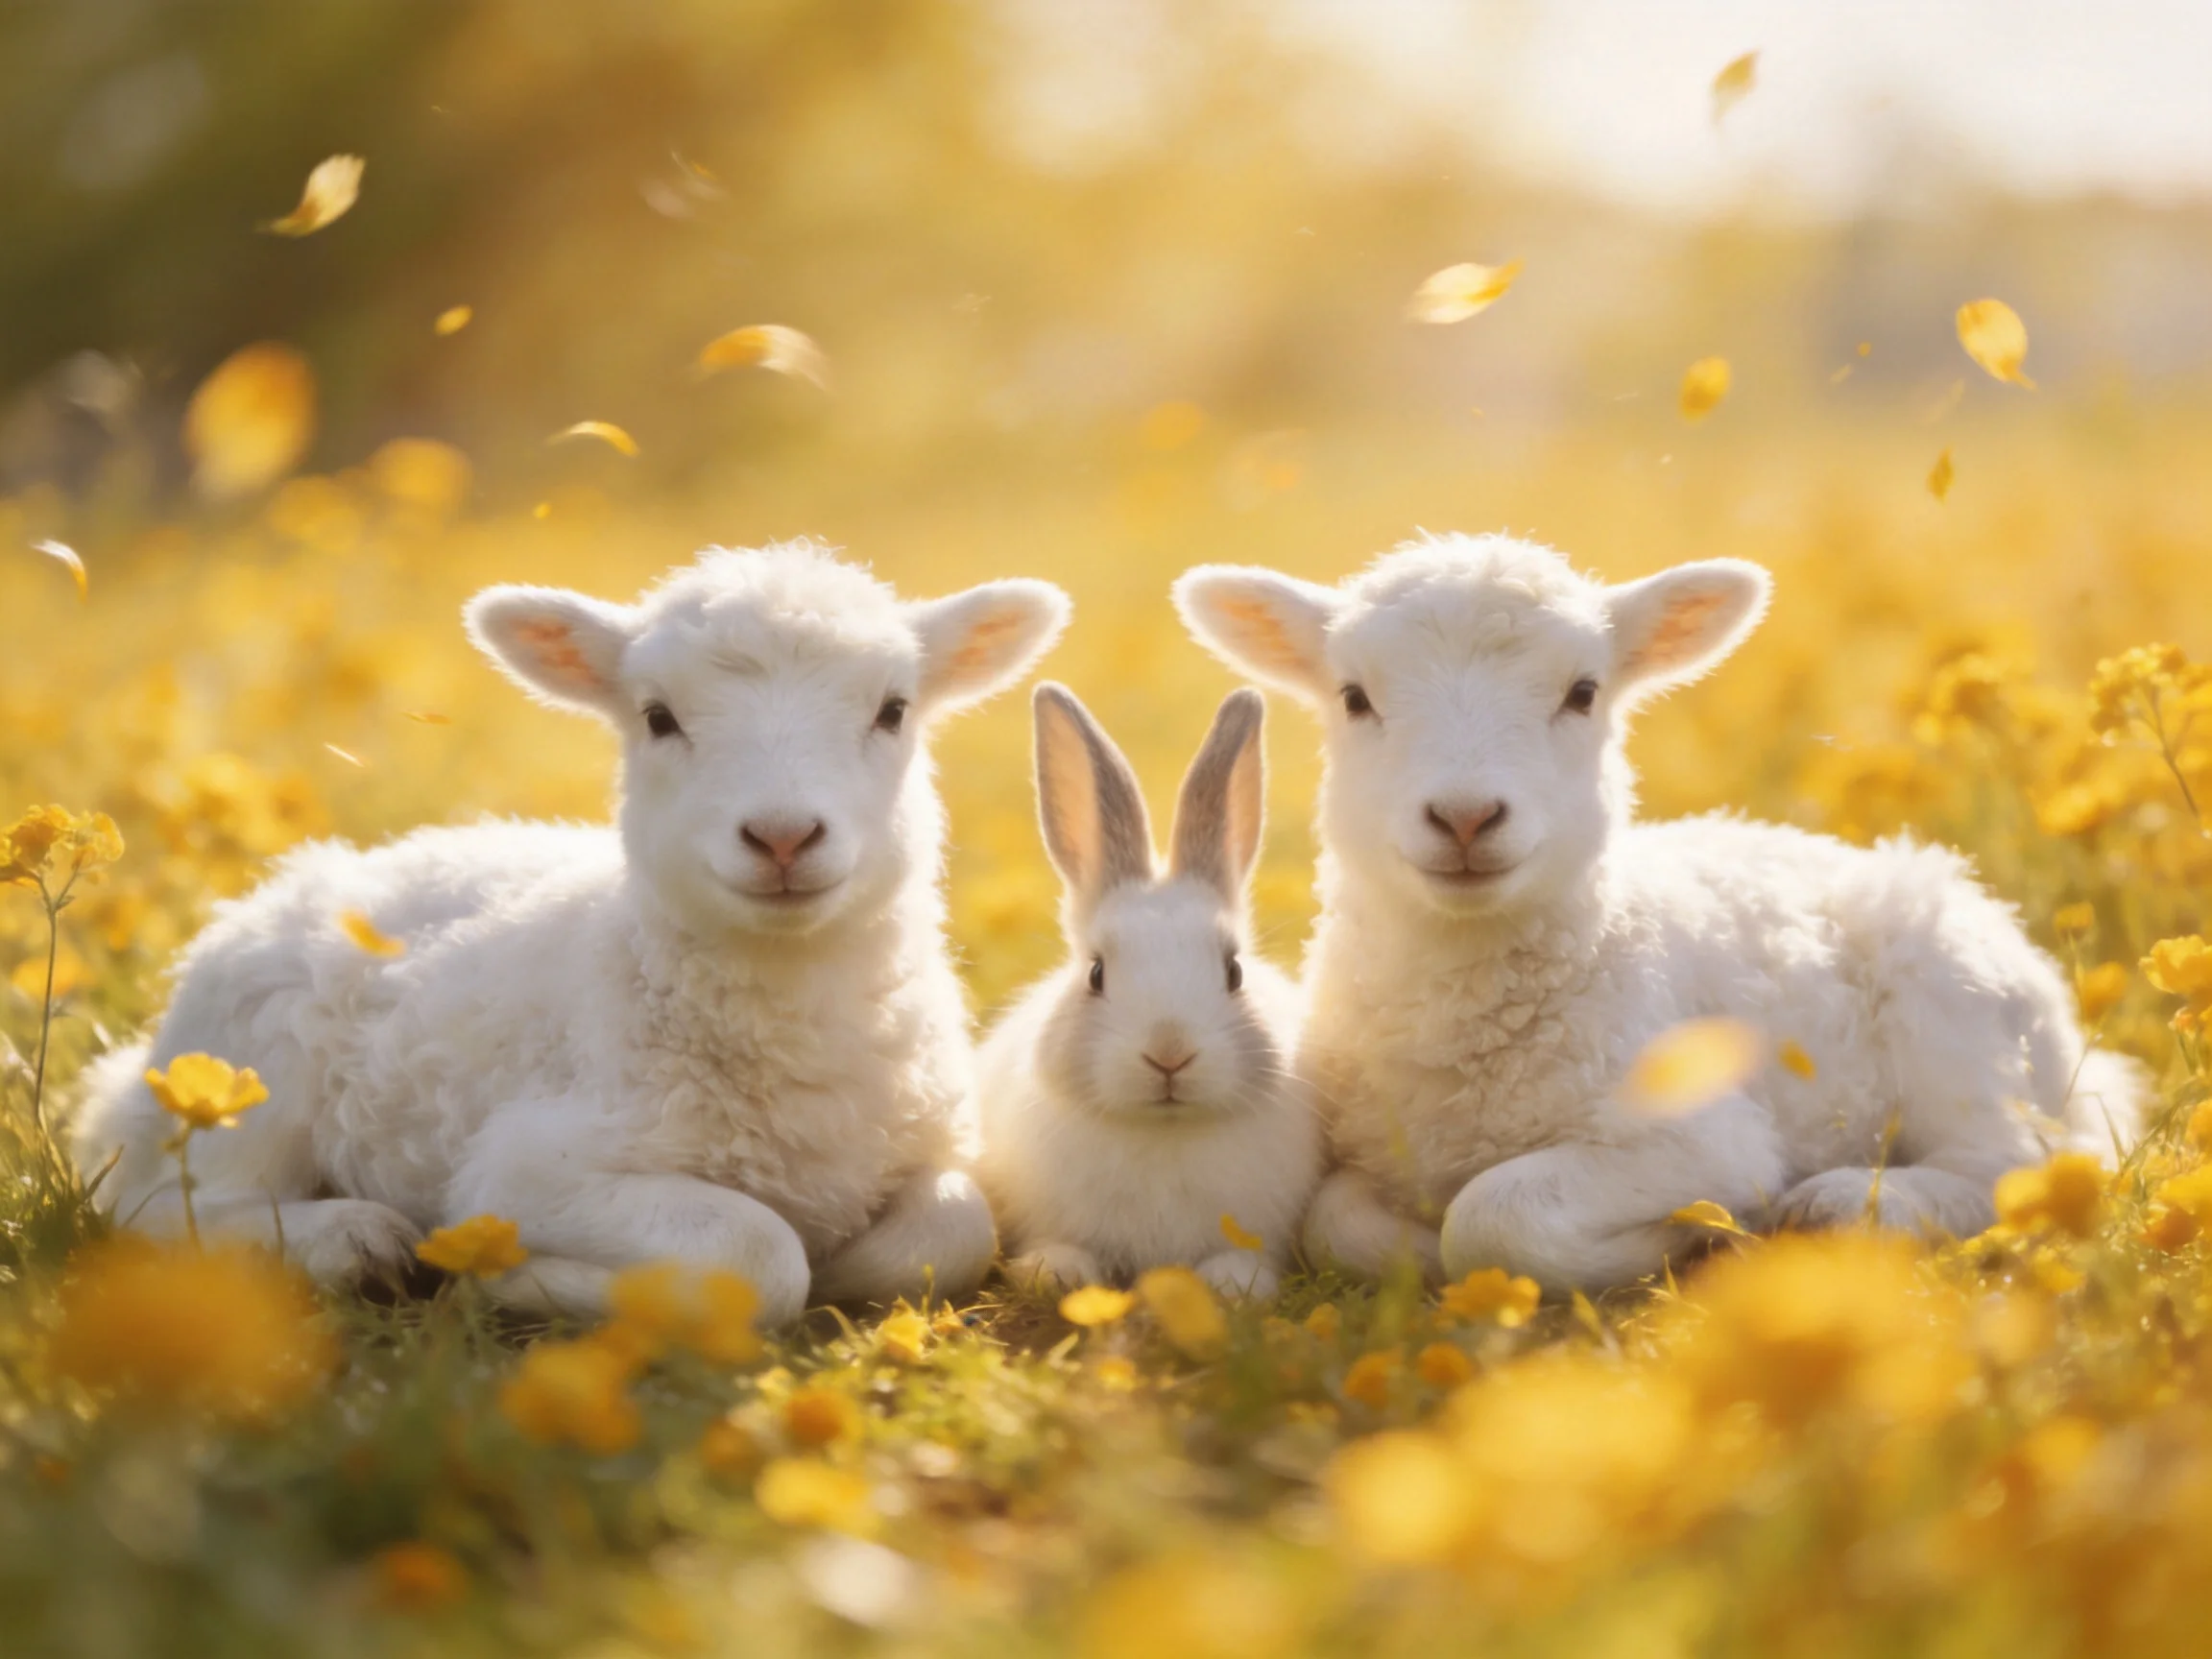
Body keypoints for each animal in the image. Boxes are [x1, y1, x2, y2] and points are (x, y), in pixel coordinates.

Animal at [74, 542, 1070, 1326]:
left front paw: (854, 1262)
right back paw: (353, 1240)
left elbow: (953, 1229)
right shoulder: (525, 1172)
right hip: (245, 1079)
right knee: (157, 1206)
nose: (783, 836)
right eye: (659, 717)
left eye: (893, 709)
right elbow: (760, 1255)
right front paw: (518, 1283)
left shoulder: (937, 1144)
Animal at [973, 683, 1321, 1300]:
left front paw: (1234, 1284)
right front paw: (1058, 1272)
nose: (1169, 1054)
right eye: (1095, 973)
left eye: (1234, 972)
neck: (1164, 1130)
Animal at [1174, 532, 2140, 1294]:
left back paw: (1848, 1203)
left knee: (2019, 1161)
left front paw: (1683, 1240)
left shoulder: (1705, 1137)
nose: (1466, 817)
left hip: (1955, 1005)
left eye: (1583, 692)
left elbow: (1494, 1217)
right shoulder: (1364, 1148)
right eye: (1354, 697)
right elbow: (1338, 1223)